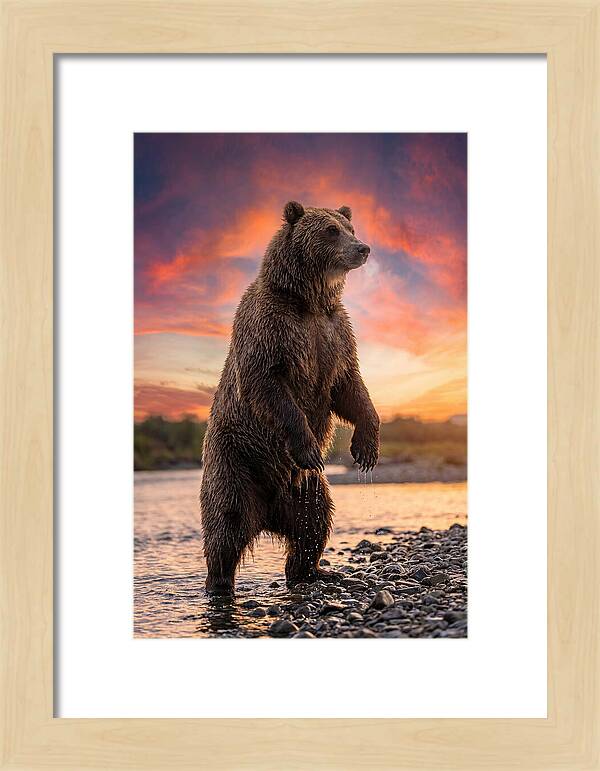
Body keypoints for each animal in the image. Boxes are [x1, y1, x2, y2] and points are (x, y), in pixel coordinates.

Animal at [200, 201, 380, 594]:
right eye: (331, 230)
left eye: (350, 227)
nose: (363, 248)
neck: (308, 301)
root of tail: (268, 513)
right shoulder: (272, 328)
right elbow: (269, 385)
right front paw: (310, 447)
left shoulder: (335, 334)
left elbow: (350, 387)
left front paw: (366, 448)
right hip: (236, 461)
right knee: (226, 524)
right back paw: (219, 584)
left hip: (305, 489)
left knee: (314, 521)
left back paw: (313, 570)